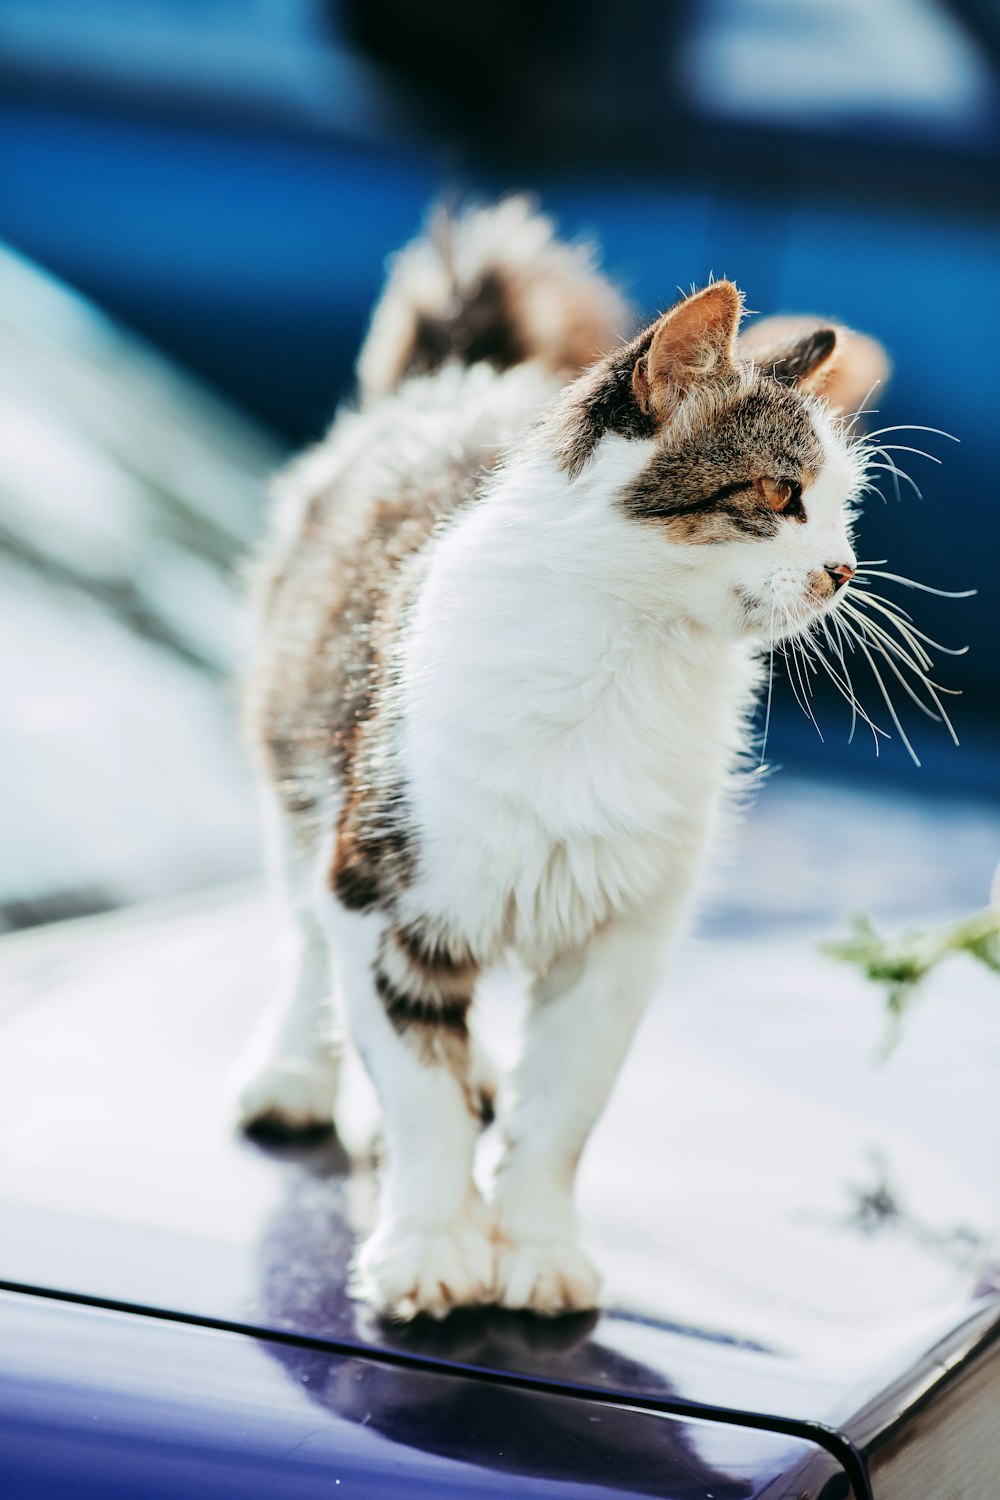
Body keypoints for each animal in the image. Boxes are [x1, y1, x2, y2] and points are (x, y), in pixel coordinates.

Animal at [238, 193, 887, 1320]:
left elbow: (564, 1110)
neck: (633, 658)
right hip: (303, 775)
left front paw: (536, 1244)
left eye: (845, 508)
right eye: (777, 495)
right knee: (304, 939)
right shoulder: (381, 887)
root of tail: (457, 380)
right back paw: (300, 1076)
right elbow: (419, 1090)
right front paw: (431, 1240)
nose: (841, 570)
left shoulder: (622, 939)